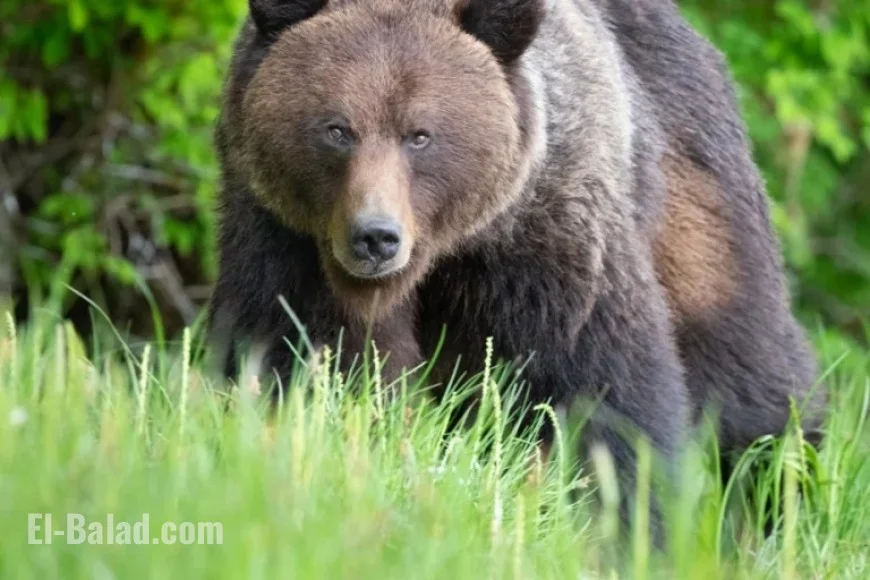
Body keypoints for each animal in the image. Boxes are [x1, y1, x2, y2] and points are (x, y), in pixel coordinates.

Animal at [208, 0, 825, 538]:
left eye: (420, 134)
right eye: (337, 128)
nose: (376, 237)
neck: (446, 250)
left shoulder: (549, 238)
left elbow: (602, 389)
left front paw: (625, 524)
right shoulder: (284, 240)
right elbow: (303, 357)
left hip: (695, 197)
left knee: (746, 370)